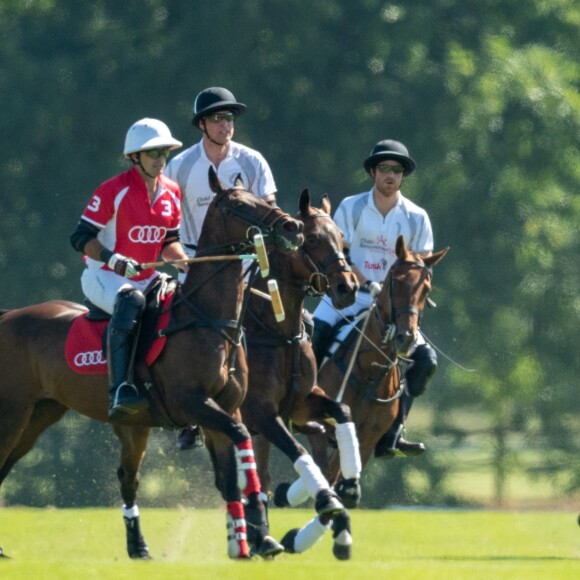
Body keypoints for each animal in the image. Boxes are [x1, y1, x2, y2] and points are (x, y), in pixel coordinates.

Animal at [0, 168, 306, 560]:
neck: (207, 318)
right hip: (13, 412)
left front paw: (253, 539)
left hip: (52, 415)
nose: (291, 227)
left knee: (125, 477)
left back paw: (138, 547)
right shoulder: (191, 402)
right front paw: (252, 535)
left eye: (261, 198)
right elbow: (240, 443)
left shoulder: (226, 408)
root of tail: (8, 316)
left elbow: (230, 475)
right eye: (238, 205)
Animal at [242, 190, 360, 556]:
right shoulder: (260, 412)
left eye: (342, 240)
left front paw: (350, 485)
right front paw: (328, 501)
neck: (277, 331)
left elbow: (342, 410)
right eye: (312, 240)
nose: (347, 287)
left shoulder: (300, 405)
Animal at [308, 236, 448, 490]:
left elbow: (341, 472)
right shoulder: (322, 429)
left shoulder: (367, 437)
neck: (369, 372)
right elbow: (326, 471)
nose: (405, 337)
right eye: (395, 281)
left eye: (427, 289)